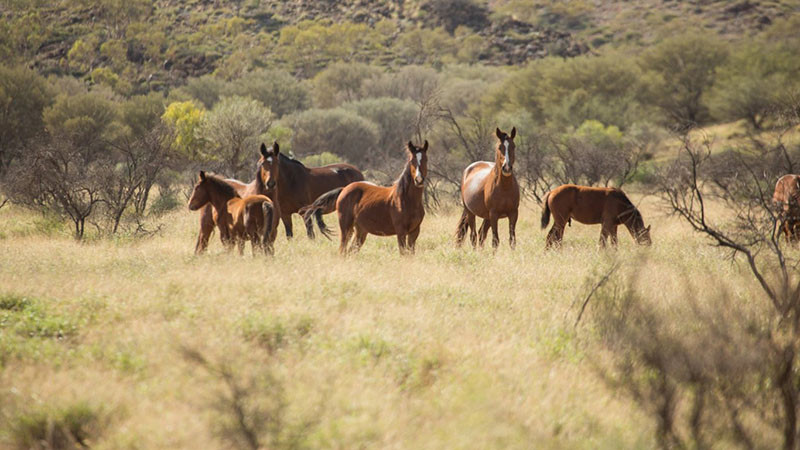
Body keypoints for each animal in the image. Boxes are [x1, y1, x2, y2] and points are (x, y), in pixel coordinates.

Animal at [304, 142, 432, 253]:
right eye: (411, 160)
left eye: (426, 159)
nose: (419, 180)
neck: (405, 199)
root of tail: (344, 189)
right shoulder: (401, 232)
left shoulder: (414, 232)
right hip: (346, 227)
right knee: (342, 250)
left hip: (360, 231)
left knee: (350, 251)